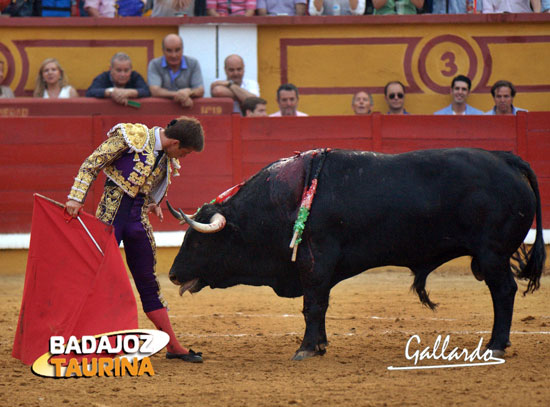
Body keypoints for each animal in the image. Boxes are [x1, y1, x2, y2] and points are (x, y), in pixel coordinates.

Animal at [168, 149, 548, 360]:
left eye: (199, 242)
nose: (172, 274)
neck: (282, 202)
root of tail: (506, 160)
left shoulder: (316, 260)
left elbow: (312, 304)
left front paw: (306, 349)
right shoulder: (318, 267)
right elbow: (319, 305)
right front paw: (320, 345)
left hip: (492, 254)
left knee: (504, 292)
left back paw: (495, 345)